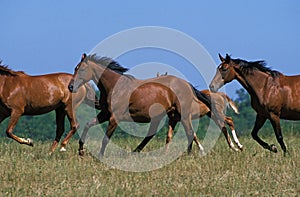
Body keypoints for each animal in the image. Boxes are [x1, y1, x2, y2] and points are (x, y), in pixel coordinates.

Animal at [68, 53, 211, 157]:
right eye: (75, 68)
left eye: (82, 69)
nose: (70, 87)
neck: (115, 87)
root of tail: (187, 84)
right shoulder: (105, 114)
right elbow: (87, 125)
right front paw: (81, 150)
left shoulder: (115, 117)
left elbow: (105, 139)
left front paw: (100, 156)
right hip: (169, 115)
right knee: (158, 134)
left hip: (183, 115)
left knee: (190, 132)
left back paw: (190, 154)